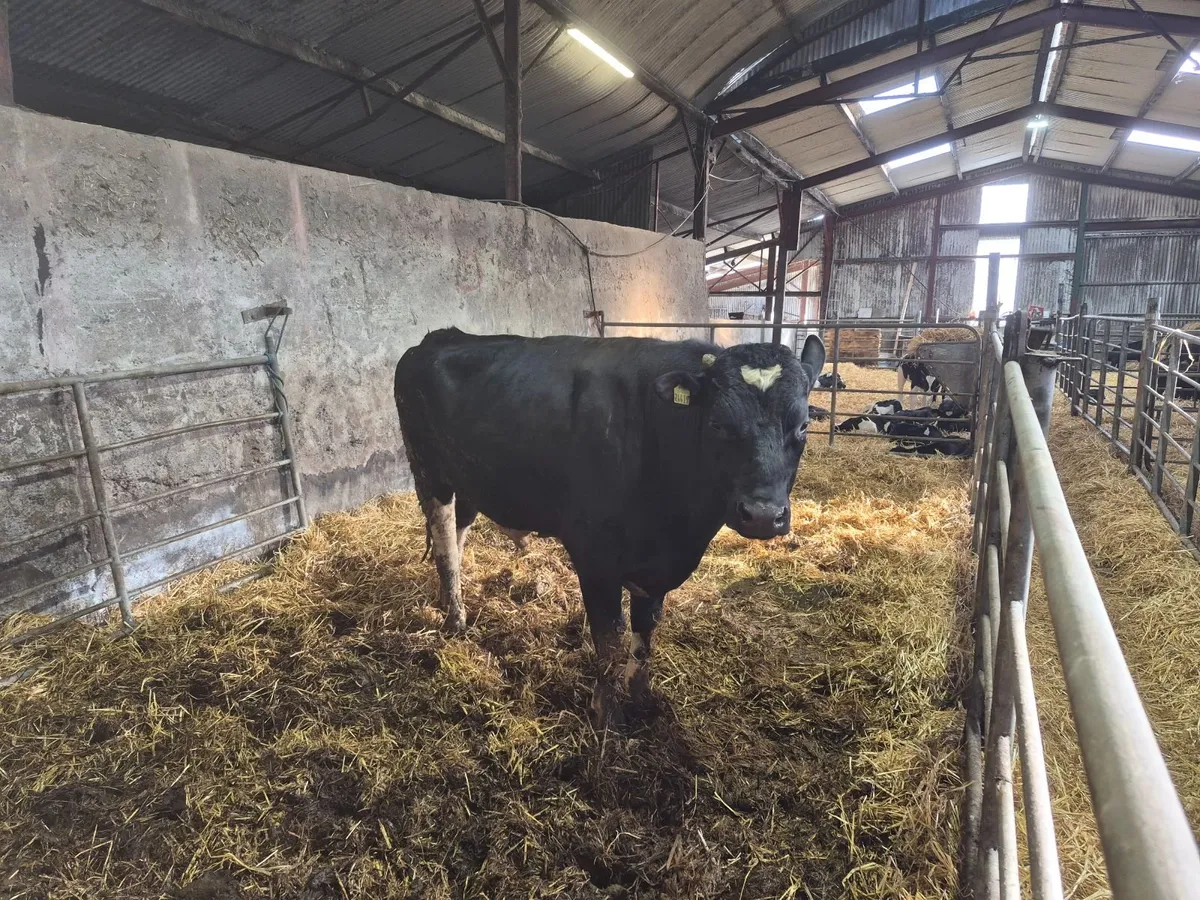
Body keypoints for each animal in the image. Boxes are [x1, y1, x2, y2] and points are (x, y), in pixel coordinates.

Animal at [394, 329, 826, 723]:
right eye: (718, 424)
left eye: (803, 426)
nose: (763, 514)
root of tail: (440, 337)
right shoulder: (594, 555)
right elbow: (608, 639)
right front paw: (605, 714)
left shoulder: (656, 563)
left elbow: (645, 631)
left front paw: (641, 695)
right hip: (429, 472)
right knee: (444, 543)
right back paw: (455, 619)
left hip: (469, 479)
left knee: (458, 533)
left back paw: (451, 603)